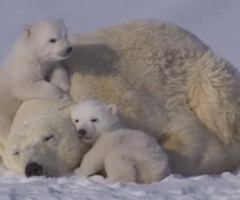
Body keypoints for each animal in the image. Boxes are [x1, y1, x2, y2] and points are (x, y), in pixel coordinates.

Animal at [0, 19, 72, 147]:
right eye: (52, 39)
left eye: (65, 35)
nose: (69, 48)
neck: (32, 54)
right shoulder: (23, 70)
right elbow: (26, 87)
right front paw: (62, 97)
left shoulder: (48, 64)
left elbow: (58, 69)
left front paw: (63, 87)